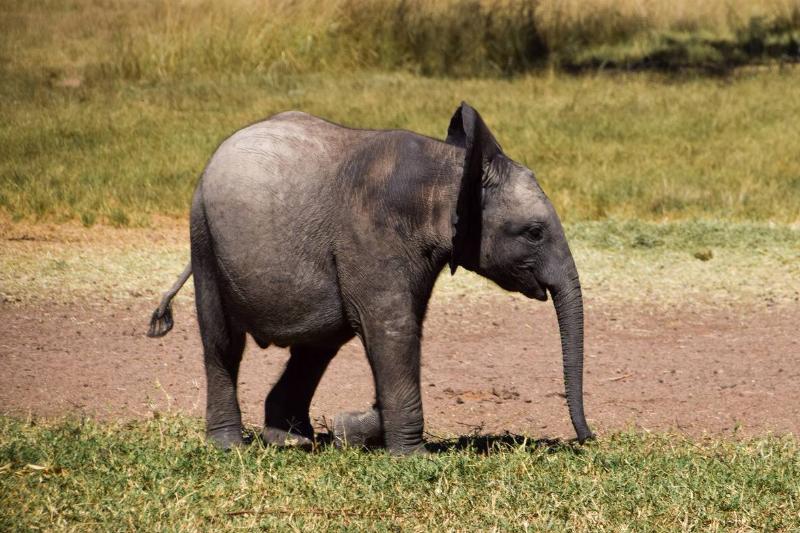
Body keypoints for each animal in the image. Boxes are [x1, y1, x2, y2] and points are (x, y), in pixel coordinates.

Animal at [148, 102, 593, 454]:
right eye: (534, 233)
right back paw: (229, 445)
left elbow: (395, 329)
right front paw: (408, 455)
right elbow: (392, 330)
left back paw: (292, 439)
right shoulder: (372, 232)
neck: (450, 168)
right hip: (204, 235)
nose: (588, 438)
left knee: (319, 344)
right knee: (223, 340)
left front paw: (350, 429)